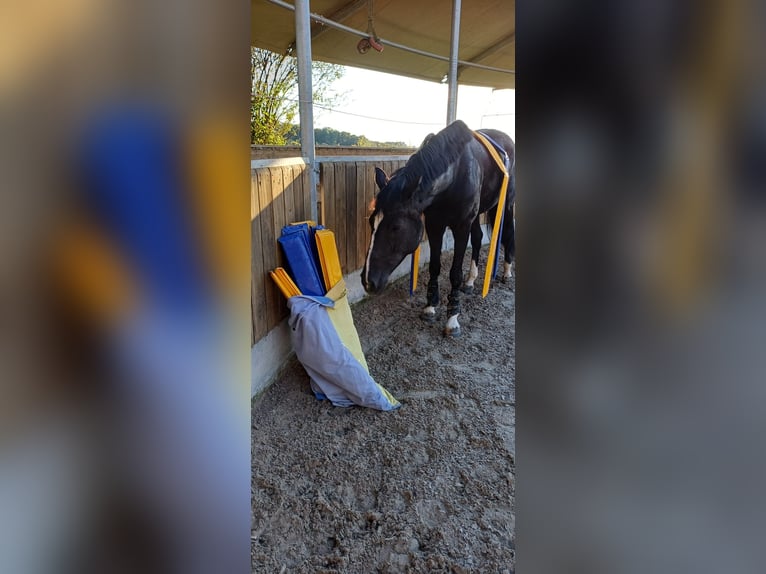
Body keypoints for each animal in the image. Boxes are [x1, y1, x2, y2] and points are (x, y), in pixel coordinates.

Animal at [360, 120, 515, 337]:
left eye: (396, 227)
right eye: (371, 222)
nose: (368, 281)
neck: (455, 174)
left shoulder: (461, 227)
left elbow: (455, 273)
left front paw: (453, 318)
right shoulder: (435, 225)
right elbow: (435, 266)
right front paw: (430, 307)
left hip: (507, 204)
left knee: (509, 233)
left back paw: (506, 271)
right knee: (477, 238)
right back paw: (471, 281)